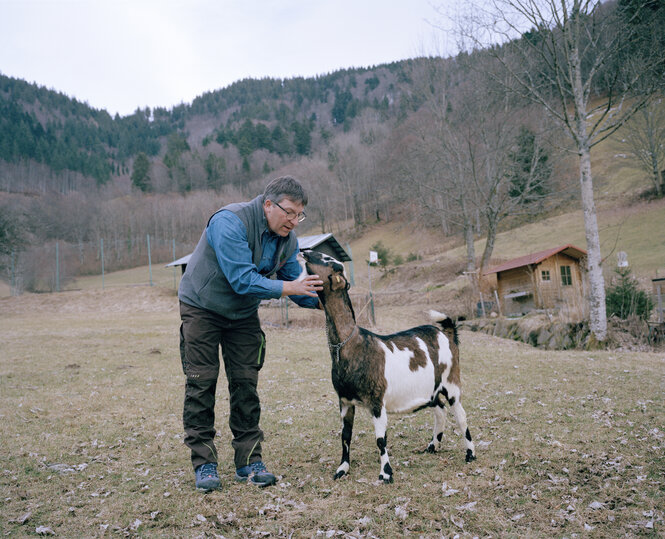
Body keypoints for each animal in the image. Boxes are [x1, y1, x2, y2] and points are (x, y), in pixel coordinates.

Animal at [300, 250, 478, 486]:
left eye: (329, 260)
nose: (305, 252)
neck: (351, 345)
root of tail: (447, 334)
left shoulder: (376, 401)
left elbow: (380, 439)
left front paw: (385, 473)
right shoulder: (345, 400)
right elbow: (345, 436)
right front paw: (342, 469)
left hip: (451, 381)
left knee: (461, 415)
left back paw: (470, 454)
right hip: (431, 390)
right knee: (440, 410)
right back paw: (432, 446)